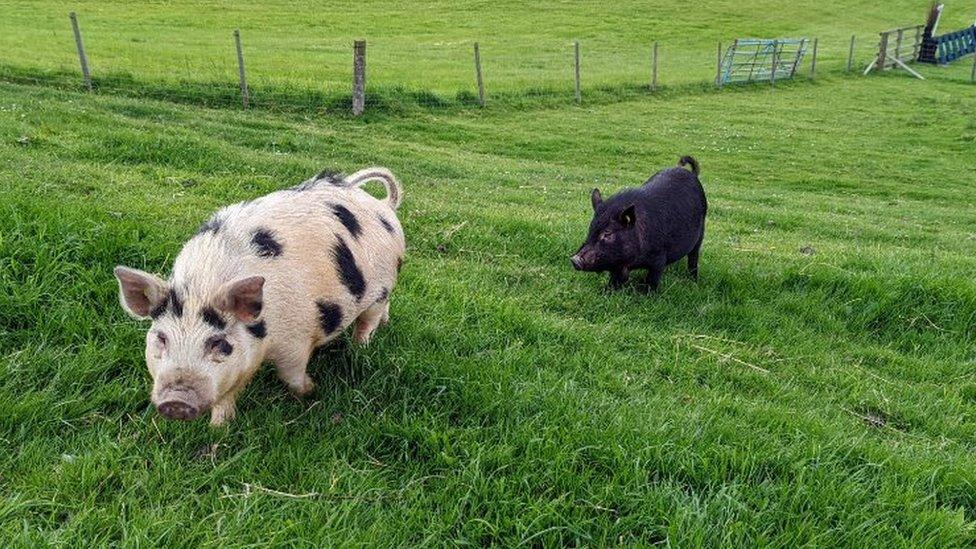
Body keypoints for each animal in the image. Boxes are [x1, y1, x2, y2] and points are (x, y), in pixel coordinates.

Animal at [568, 156, 704, 294]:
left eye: (608, 233)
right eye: (591, 229)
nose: (574, 259)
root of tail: (692, 174)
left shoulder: (659, 257)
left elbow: (652, 279)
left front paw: (648, 295)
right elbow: (615, 280)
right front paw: (606, 291)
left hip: (700, 234)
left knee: (694, 257)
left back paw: (693, 281)